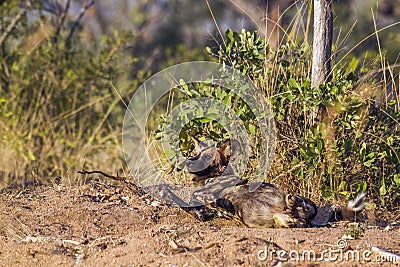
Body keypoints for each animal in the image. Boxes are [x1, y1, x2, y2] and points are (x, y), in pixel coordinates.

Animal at [184, 135, 366, 229]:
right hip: (283, 220)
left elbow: (217, 182)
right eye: (196, 153)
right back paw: (293, 209)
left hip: (300, 200)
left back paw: (295, 203)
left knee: (307, 206)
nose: (187, 161)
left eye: (207, 157)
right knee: (296, 220)